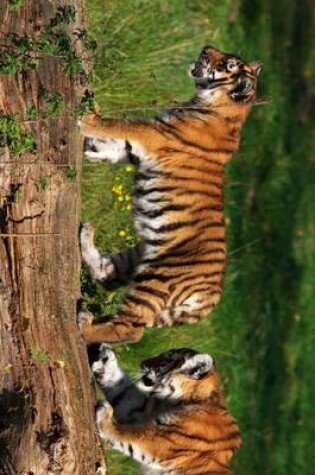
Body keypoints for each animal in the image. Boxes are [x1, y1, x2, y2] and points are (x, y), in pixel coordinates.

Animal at [79, 45, 264, 342]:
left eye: (226, 64)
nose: (206, 48)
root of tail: (211, 300)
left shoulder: (152, 135)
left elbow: (118, 126)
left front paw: (88, 117)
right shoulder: (138, 147)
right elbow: (111, 145)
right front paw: (90, 146)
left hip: (160, 276)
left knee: (130, 328)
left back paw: (84, 325)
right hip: (142, 255)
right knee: (107, 275)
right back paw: (86, 232)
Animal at [92, 346, 241, 475]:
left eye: (166, 359)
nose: (141, 363)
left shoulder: (164, 439)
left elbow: (127, 434)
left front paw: (105, 415)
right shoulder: (141, 413)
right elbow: (123, 391)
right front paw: (104, 360)